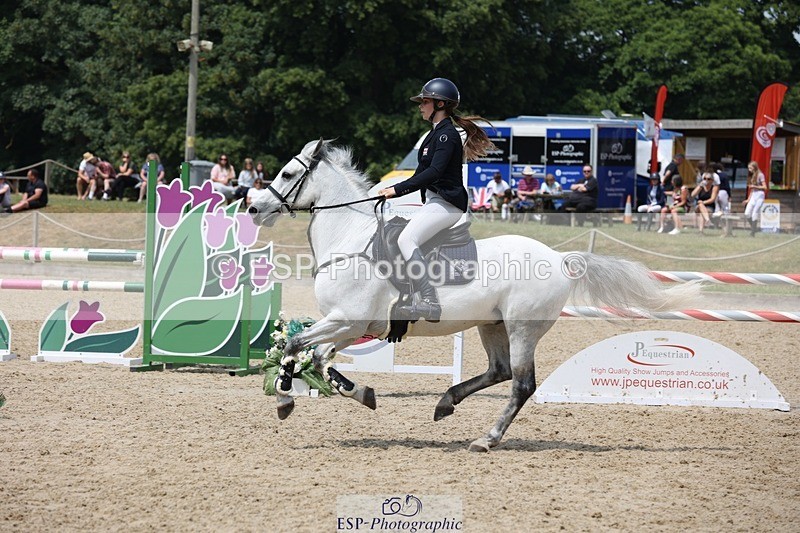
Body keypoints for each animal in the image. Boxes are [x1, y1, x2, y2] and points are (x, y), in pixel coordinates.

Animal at [249, 139, 699, 452]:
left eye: (286, 174)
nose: (254, 209)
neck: (350, 238)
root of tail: (559, 258)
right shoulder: (351, 325)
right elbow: (319, 358)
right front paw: (358, 393)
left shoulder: (346, 319)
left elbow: (295, 344)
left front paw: (285, 399)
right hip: (492, 324)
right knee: (499, 371)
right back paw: (446, 403)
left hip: (522, 328)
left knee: (521, 384)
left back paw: (487, 438)